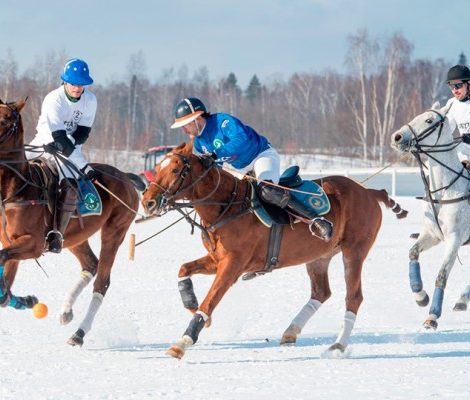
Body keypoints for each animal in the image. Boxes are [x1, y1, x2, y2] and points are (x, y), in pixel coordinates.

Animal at [0, 100, 140, 346]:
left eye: (6, 120)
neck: (15, 190)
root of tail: (126, 176)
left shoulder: (33, 245)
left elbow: (3, 271)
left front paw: (25, 299)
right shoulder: (11, 243)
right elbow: (5, 289)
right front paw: (27, 300)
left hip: (115, 230)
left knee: (102, 281)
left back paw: (79, 333)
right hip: (73, 237)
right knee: (90, 264)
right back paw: (66, 311)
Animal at [140, 141, 408, 360]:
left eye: (176, 170)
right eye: (158, 168)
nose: (147, 202)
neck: (226, 206)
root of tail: (369, 191)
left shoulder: (233, 264)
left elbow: (210, 301)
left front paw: (183, 342)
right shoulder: (217, 260)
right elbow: (183, 269)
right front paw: (190, 302)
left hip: (355, 250)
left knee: (353, 296)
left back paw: (338, 346)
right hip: (319, 256)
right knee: (321, 292)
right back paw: (290, 332)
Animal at [390, 101, 470, 330]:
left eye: (428, 120)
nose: (397, 137)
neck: (444, 191)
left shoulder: (454, 239)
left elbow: (441, 276)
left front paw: (432, 316)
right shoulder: (432, 234)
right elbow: (412, 253)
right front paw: (421, 296)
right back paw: (461, 301)